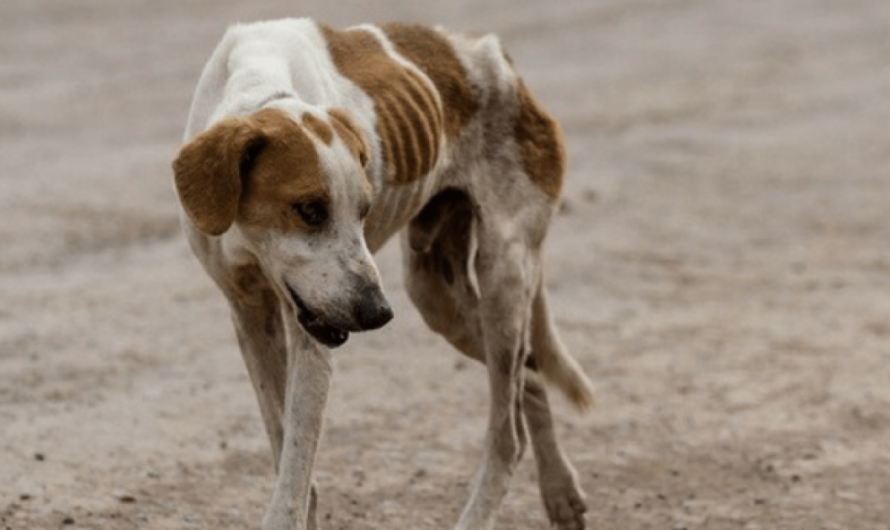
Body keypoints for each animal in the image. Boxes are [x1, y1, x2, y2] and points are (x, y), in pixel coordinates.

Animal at [171, 17, 592, 528]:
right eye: (308, 209)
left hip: (502, 276)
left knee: (506, 436)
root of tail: (499, 57)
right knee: (528, 372)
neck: (261, 84)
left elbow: (294, 474)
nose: (377, 314)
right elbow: (293, 465)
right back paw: (560, 491)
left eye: (364, 210)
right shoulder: (250, 315)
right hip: (438, 299)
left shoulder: (309, 336)